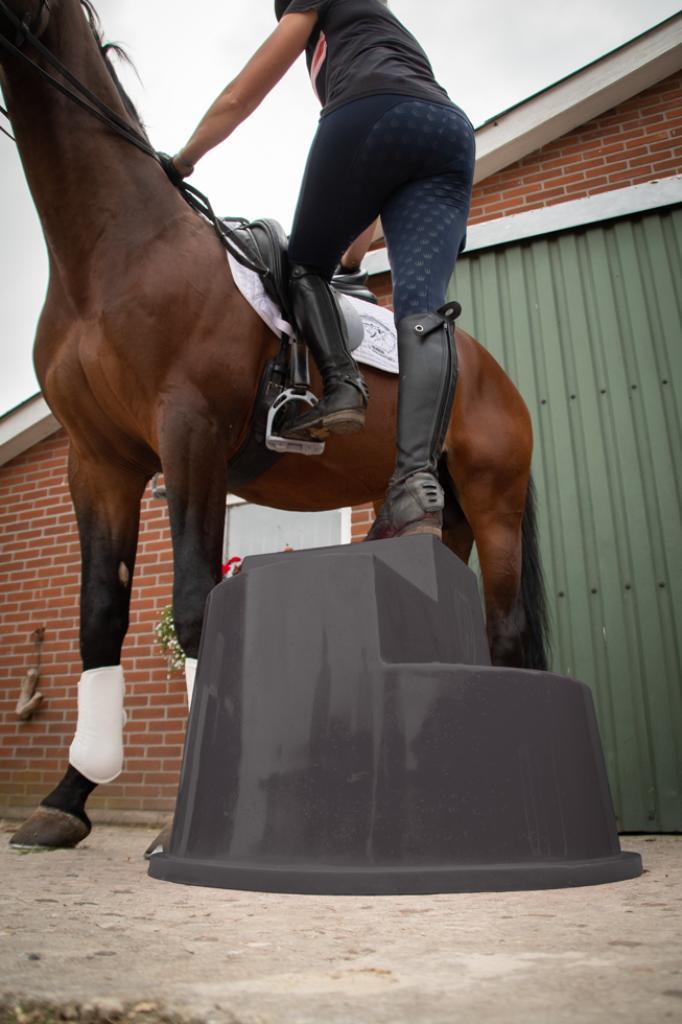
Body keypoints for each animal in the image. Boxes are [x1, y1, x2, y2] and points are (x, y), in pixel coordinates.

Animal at [1, 0, 549, 850]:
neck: (113, 250)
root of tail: (491, 371)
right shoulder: (98, 462)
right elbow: (98, 617)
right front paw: (67, 799)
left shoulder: (189, 436)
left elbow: (197, 610)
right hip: (438, 514)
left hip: (495, 505)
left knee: (508, 636)